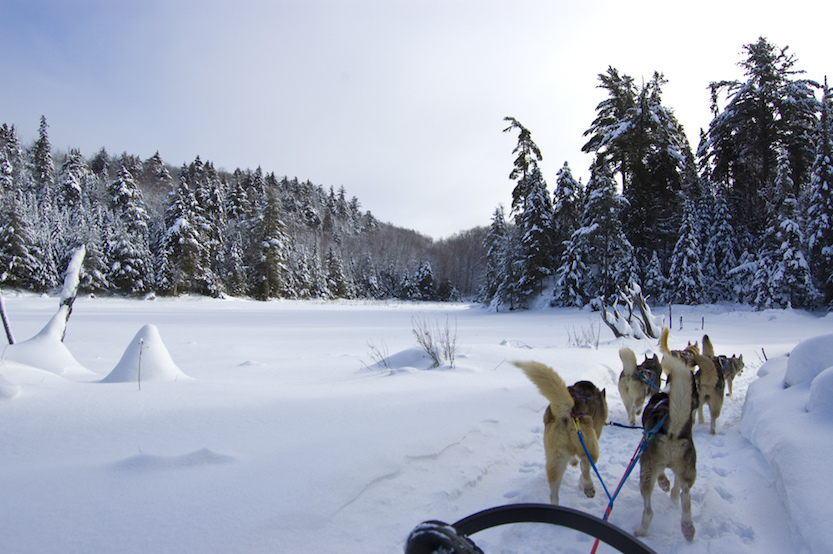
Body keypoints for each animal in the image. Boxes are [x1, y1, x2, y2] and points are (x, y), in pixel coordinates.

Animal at [512, 360, 604, 502]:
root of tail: (567, 412)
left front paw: (573, 461)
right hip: (591, 447)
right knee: (585, 464)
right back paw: (588, 487)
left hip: (555, 459)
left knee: (553, 494)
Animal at [632, 350, 700, 540]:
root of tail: (672, 431)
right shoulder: (679, 473)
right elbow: (676, 489)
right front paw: (673, 497)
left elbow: (663, 477)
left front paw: (664, 484)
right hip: (688, 472)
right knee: (686, 498)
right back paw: (687, 527)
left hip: (646, 468)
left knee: (649, 511)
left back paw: (641, 531)